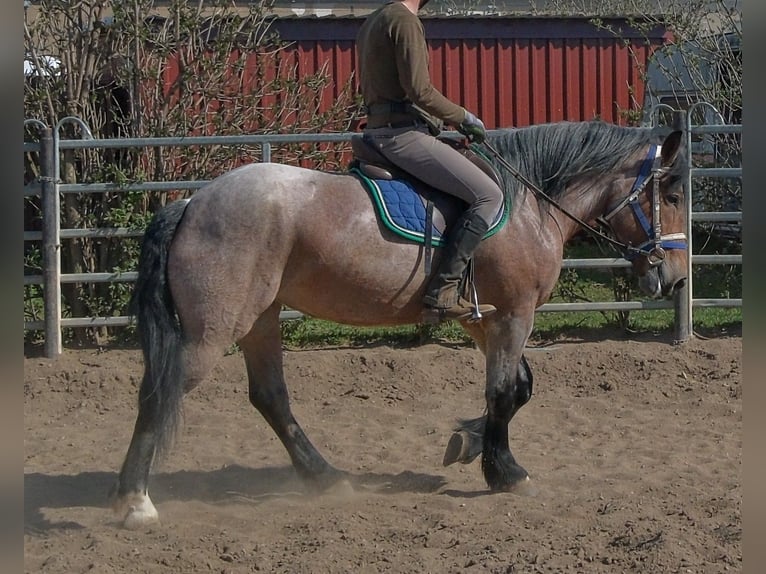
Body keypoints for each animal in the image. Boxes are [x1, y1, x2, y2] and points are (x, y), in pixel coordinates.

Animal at [112, 120, 688, 529]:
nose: (677, 277)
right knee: (159, 393)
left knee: (270, 397)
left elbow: (519, 387)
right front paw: (505, 472)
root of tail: (192, 202)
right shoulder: (514, 314)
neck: (528, 206)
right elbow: (505, 393)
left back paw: (326, 478)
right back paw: (135, 502)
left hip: (260, 320)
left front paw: (468, 443)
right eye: (673, 196)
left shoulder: (484, 319)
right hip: (213, 330)